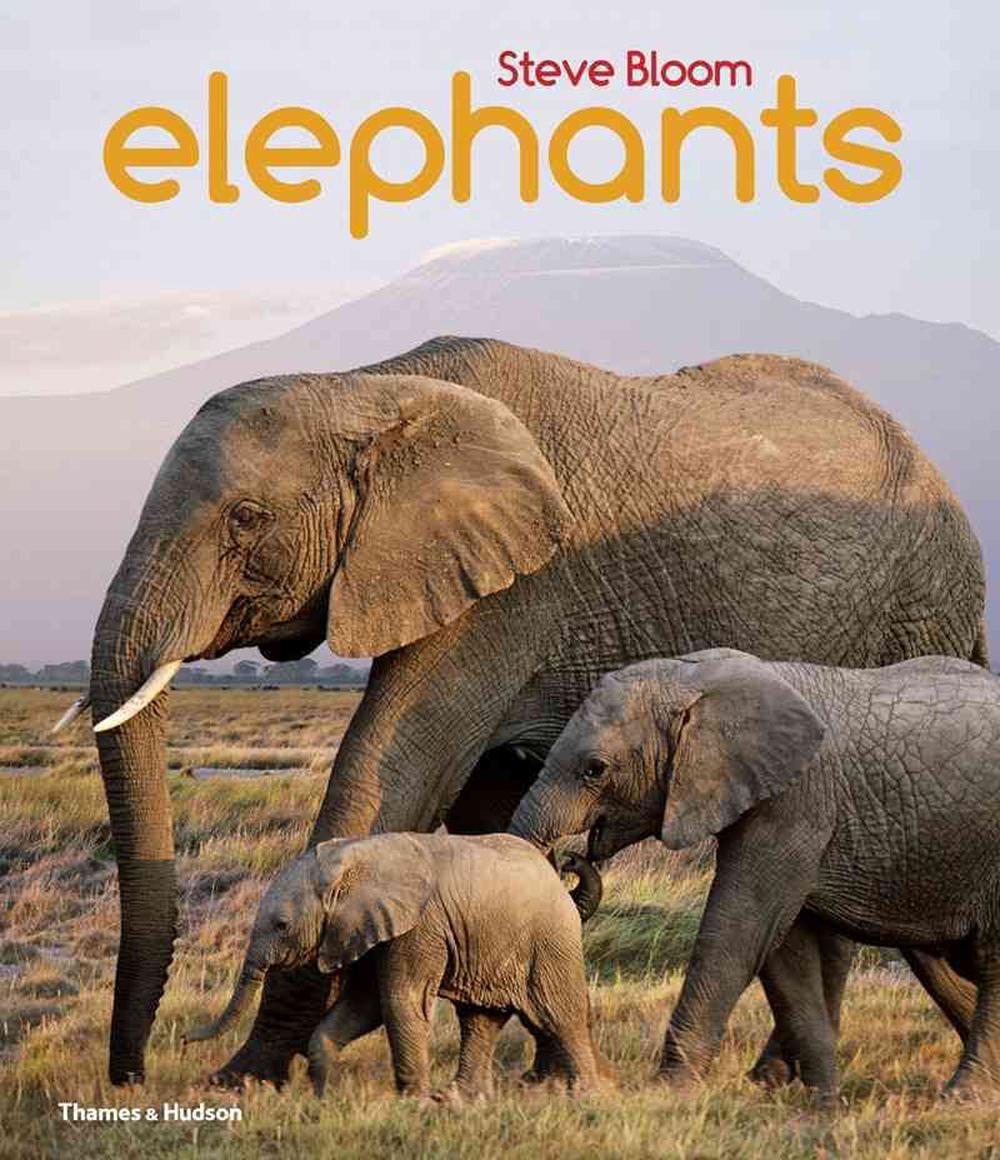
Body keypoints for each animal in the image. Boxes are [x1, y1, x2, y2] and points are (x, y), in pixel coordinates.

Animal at [186, 833, 601, 1098]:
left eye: (281, 925)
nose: (187, 1039)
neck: (353, 856)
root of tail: (555, 877)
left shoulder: (419, 925)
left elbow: (400, 1000)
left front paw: (413, 1102)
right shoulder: (372, 926)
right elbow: (365, 1004)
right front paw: (320, 1093)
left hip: (549, 942)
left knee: (559, 1014)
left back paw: (587, 1095)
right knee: (479, 1020)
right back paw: (460, 1099)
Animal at [510, 648, 1000, 1101]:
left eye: (594, 769)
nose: (572, 859)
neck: (699, 681)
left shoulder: (795, 802)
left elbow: (740, 930)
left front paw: (670, 1090)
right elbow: (784, 949)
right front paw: (818, 1101)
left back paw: (963, 1095)